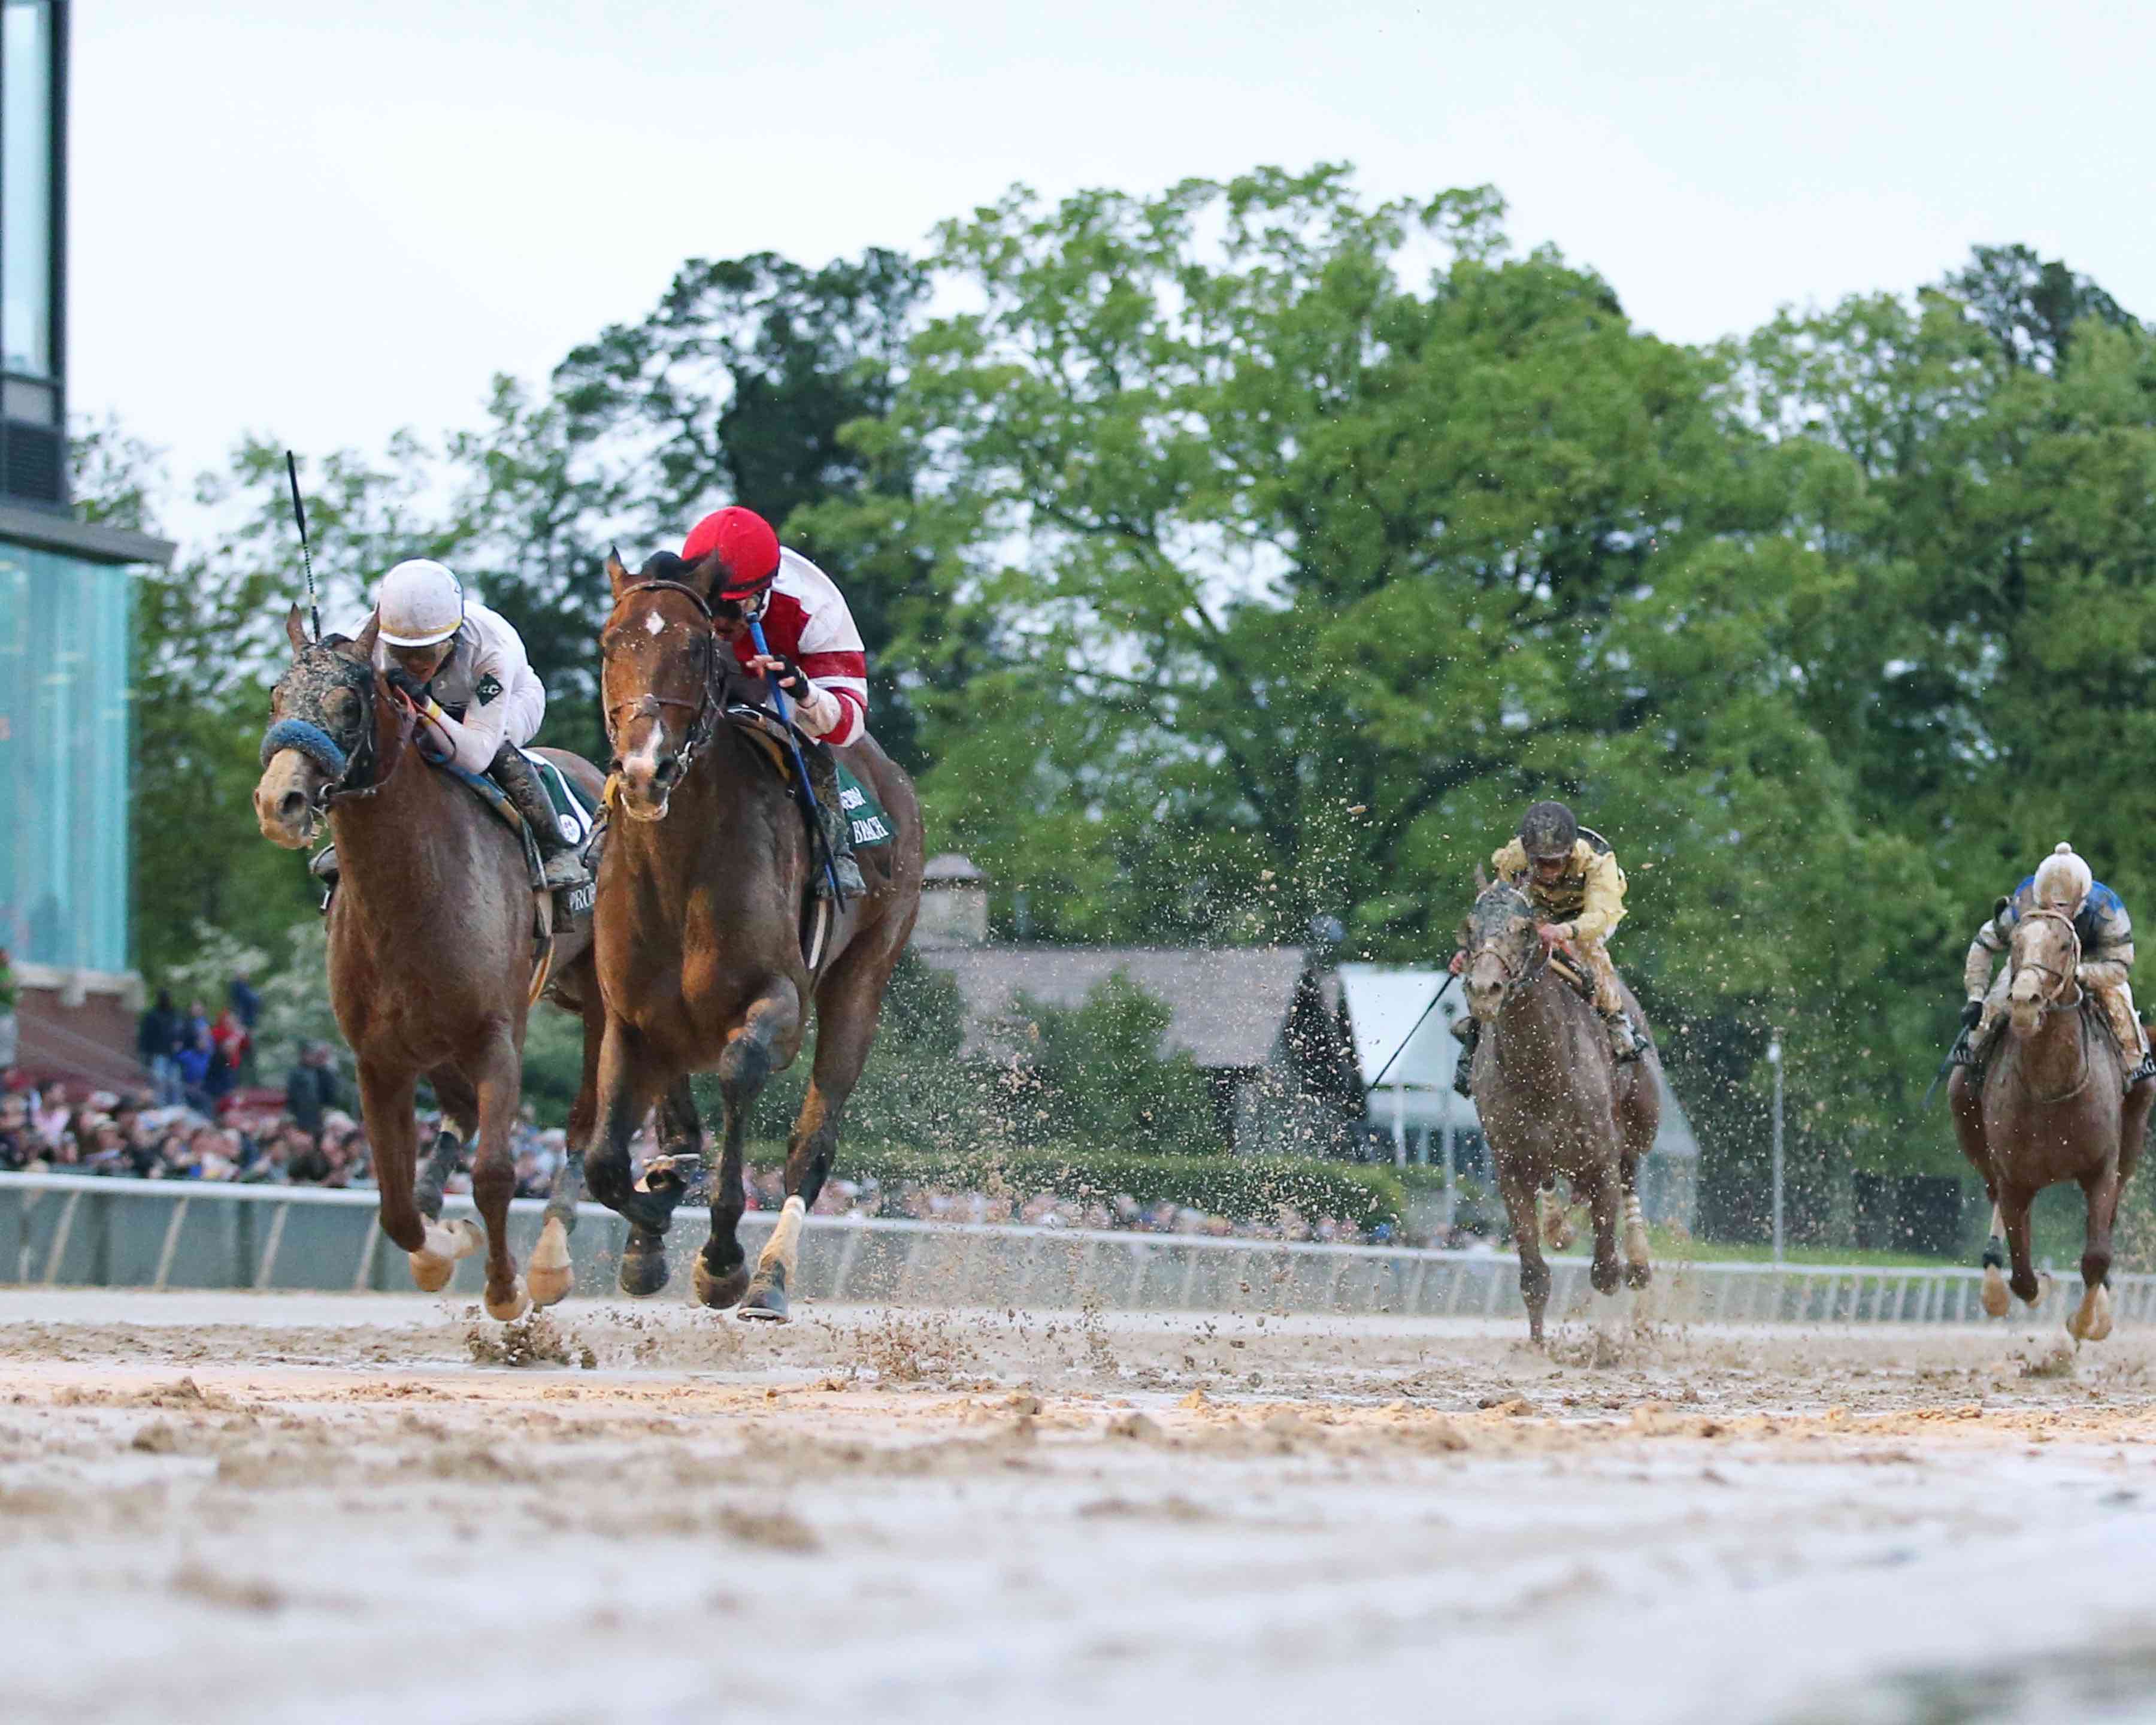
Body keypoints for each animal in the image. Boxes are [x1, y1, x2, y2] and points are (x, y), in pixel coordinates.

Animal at [255, 608, 634, 1320]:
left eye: (349, 703)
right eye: (275, 698)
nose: (278, 802)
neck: (414, 893)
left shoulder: (496, 1038)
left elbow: (495, 1175)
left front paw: (507, 1288)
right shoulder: (378, 1057)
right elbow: (395, 1205)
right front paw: (439, 1243)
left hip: (598, 1002)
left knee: (583, 1123)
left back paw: (550, 1255)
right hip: (432, 1036)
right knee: (457, 1116)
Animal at [582, 552, 927, 1320]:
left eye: (695, 648)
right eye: (611, 644)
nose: (644, 772)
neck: (678, 865)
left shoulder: (780, 1003)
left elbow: (740, 1072)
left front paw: (721, 1257)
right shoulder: (629, 1012)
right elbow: (604, 1164)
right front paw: (652, 1227)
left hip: (865, 974)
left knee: (812, 1145)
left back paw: (770, 1276)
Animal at [1457, 884, 1655, 1337]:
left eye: (1524, 928)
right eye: (1470, 928)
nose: (1485, 989)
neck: (1541, 1072)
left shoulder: (1601, 1159)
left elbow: (1606, 1272)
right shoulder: (1511, 1165)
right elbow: (1534, 1276)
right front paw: (1537, 1345)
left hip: (1641, 1122)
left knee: (1630, 1173)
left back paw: (1638, 1260)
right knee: (1556, 1187)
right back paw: (1558, 1223)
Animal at [1949, 910, 2147, 1337]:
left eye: (2064, 945)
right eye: (2016, 942)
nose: (2025, 1002)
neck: (2051, 1087)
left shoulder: (2101, 1169)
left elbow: (2096, 1258)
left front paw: (2086, 1322)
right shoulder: (2013, 1176)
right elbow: (2023, 1275)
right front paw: (2034, 1288)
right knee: (1994, 1198)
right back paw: (1993, 1275)